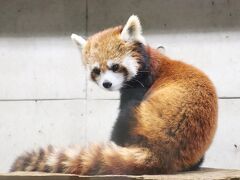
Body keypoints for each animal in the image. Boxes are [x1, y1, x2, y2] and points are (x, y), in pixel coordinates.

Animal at [10, 15, 218, 174]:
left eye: (115, 66)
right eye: (96, 70)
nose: (107, 83)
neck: (149, 60)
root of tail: (162, 154)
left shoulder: (140, 85)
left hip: (144, 119)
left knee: (125, 117)